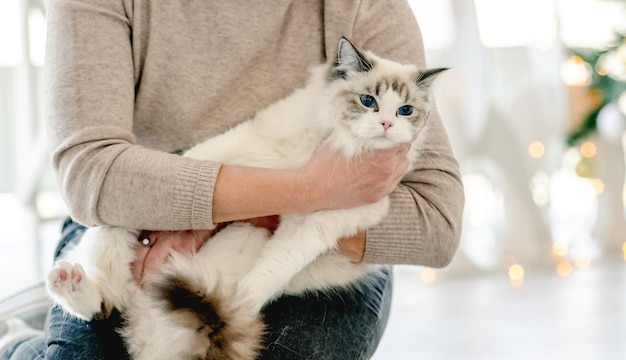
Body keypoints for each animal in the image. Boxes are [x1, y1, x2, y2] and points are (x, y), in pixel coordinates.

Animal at [46, 38, 446, 358]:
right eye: (368, 101)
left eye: (405, 111)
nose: (387, 125)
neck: (334, 146)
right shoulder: (235, 155)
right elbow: (199, 178)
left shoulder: (316, 227)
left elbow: (264, 278)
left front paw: (236, 306)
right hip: (115, 241)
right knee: (105, 291)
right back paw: (68, 279)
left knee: (112, 306)